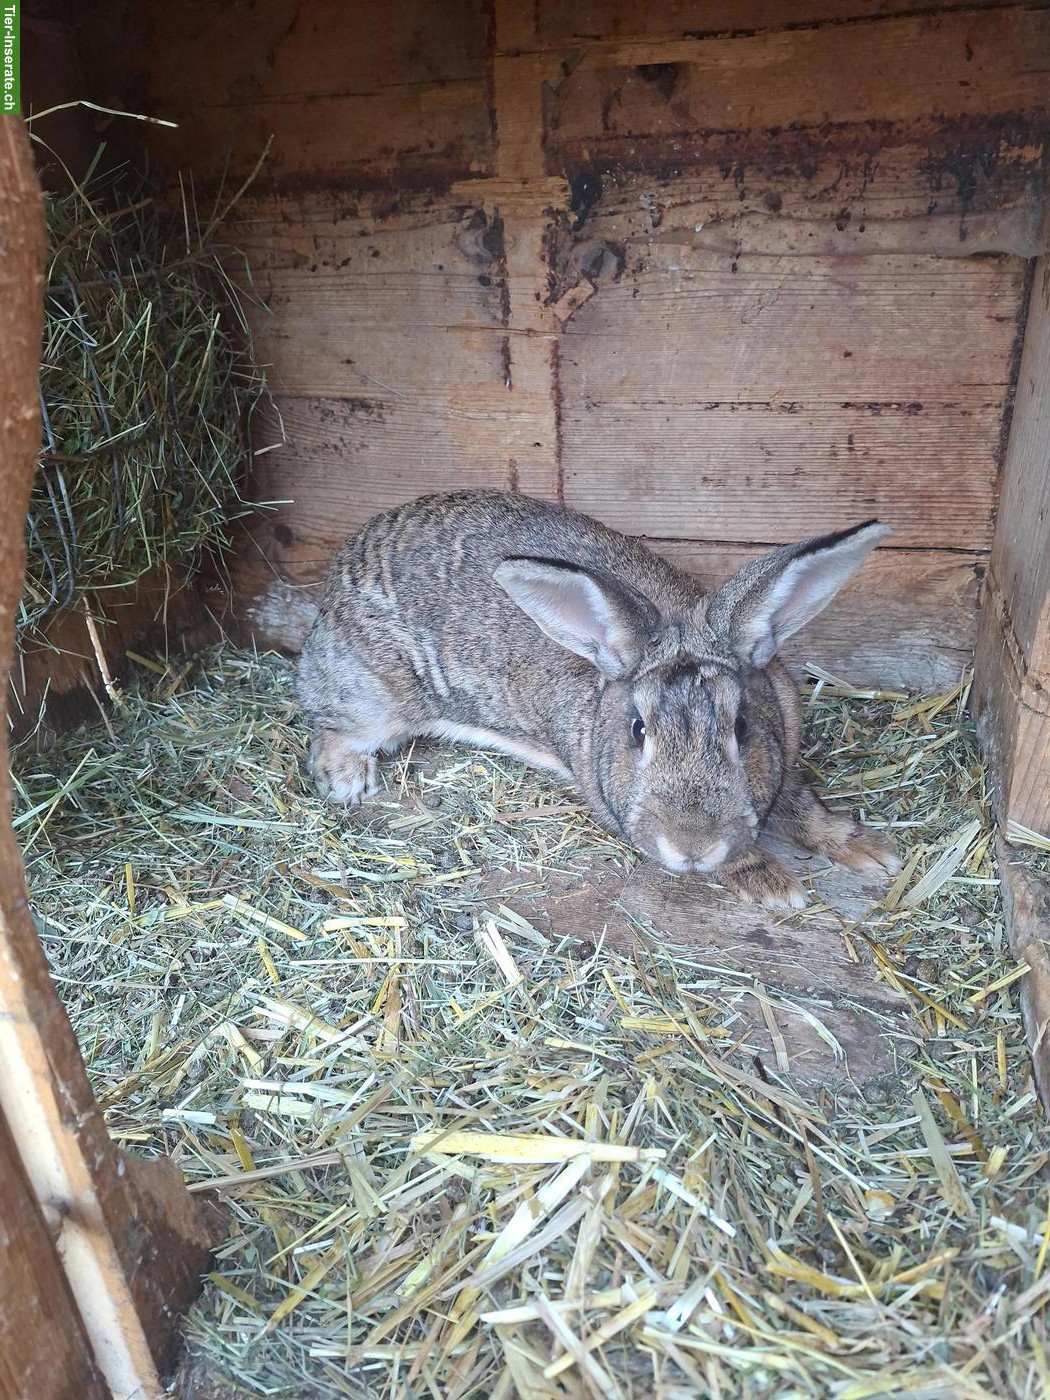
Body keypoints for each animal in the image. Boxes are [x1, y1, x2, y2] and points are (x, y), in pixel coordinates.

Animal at [296, 489, 900, 909]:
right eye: (638, 731)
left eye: (743, 728)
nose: (693, 847)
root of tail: (331, 590)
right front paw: (771, 882)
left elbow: (802, 803)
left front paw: (870, 851)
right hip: (375, 699)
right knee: (329, 726)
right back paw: (349, 780)